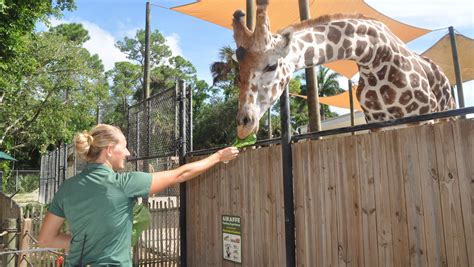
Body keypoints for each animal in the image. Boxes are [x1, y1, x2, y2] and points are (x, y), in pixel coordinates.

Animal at [233, 0, 456, 138]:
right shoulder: (376, 124)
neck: (373, 57)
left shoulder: (424, 118)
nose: (244, 124)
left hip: (447, 114)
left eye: (271, 65)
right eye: (238, 75)